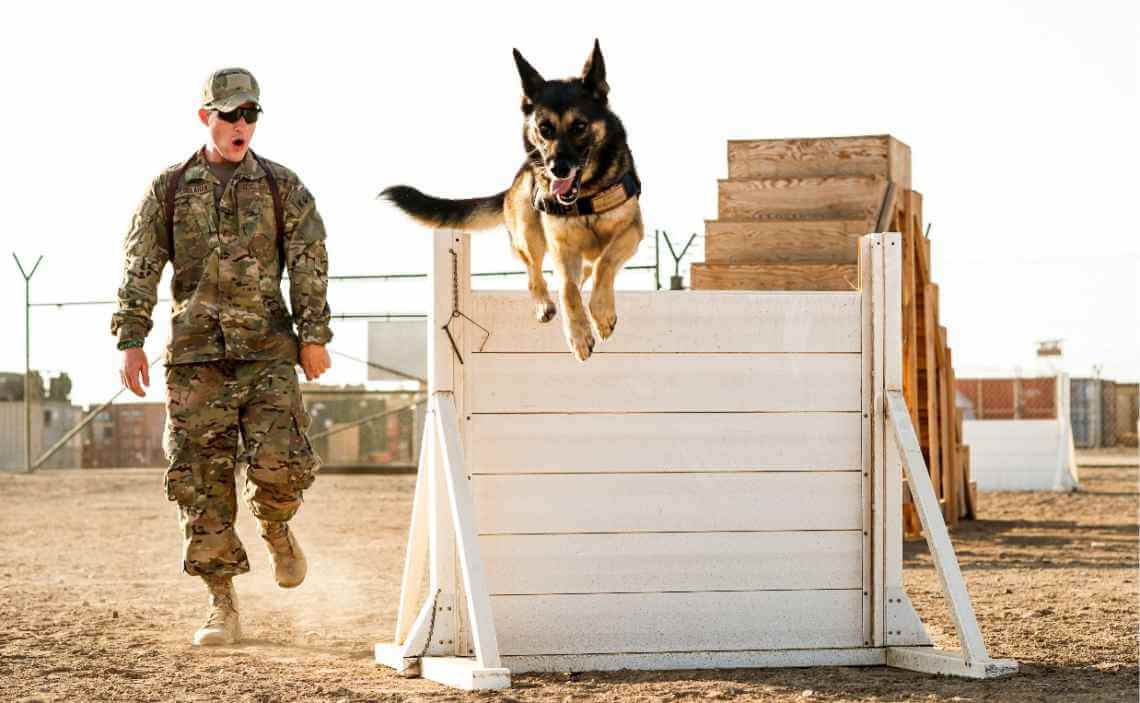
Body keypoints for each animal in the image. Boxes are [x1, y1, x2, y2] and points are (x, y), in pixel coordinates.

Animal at [380, 41, 642, 362]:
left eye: (579, 126)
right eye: (544, 128)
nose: (558, 168)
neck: (587, 194)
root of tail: (517, 176)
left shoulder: (632, 232)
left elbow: (605, 263)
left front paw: (602, 315)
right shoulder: (561, 247)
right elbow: (567, 290)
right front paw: (579, 334)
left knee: (585, 270)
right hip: (527, 230)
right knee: (535, 275)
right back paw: (544, 304)